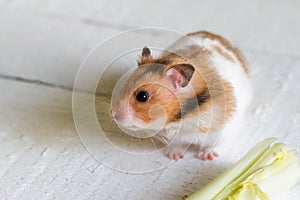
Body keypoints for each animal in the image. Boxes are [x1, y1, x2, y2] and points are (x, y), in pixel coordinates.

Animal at [109, 30, 252, 160]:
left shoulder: (224, 131)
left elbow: (214, 145)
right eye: (126, 84)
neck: (183, 119)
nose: (112, 114)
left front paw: (204, 157)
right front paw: (175, 157)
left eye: (142, 96)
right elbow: (175, 145)